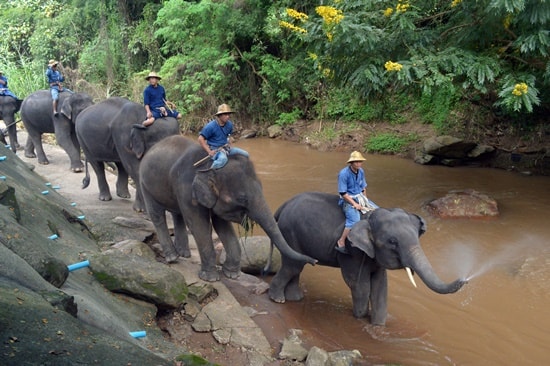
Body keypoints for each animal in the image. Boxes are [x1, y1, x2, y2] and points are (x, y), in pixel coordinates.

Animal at [139, 136, 320, 282]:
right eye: (242, 199)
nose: (315, 261)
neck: (210, 165)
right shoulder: (186, 189)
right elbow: (198, 224)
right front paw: (211, 278)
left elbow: (222, 225)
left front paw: (232, 274)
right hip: (145, 182)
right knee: (157, 215)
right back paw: (172, 258)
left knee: (177, 214)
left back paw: (184, 254)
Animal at [270, 190, 468, 324]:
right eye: (392, 242)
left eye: (417, 236)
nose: (465, 279)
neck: (370, 217)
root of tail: (283, 205)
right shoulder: (352, 250)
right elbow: (360, 285)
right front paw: (360, 318)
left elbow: (381, 286)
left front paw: (378, 325)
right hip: (290, 233)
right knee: (293, 266)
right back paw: (278, 299)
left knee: (297, 266)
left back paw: (295, 299)